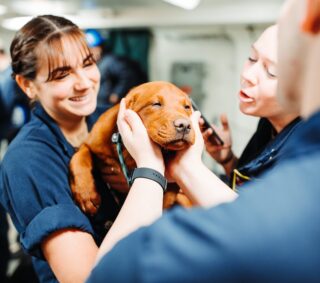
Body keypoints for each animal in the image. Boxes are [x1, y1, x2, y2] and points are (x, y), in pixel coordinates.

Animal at [69, 81, 195, 215]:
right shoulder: (90, 143)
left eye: (187, 107)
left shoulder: (172, 188)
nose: (184, 125)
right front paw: (85, 193)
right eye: (156, 104)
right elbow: (79, 157)